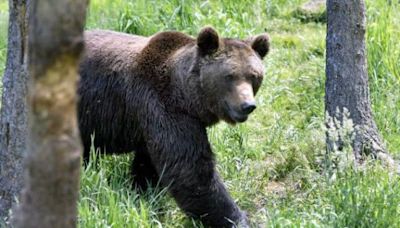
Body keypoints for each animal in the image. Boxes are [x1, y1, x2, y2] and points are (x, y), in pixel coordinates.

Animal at [79, 26, 268, 226]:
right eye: (230, 76)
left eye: (254, 76)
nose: (247, 105)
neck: (187, 96)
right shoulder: (163, 107)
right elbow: (191, 171)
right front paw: (235, 218)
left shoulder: (152, 122)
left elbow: (150, 165)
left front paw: (143, 192)